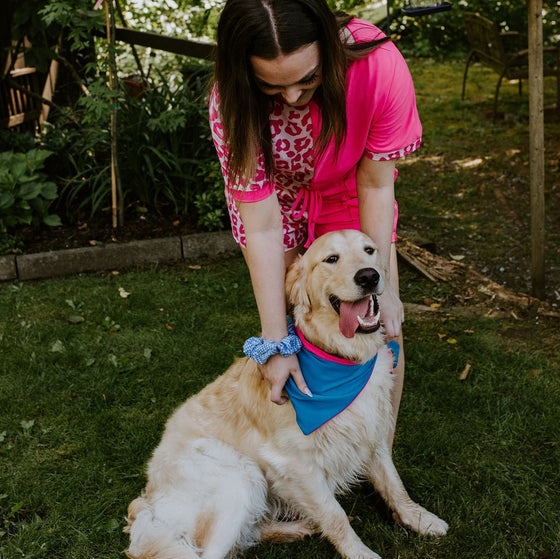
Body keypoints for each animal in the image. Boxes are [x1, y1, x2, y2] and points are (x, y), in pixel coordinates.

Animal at [124, 229, 448, 559]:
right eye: (331, 259)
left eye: (369, 250)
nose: (369, 276)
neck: (343, 360)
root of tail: (146, 507)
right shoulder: (296, 463)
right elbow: (335, 514)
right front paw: (359, 553)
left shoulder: (373, 431)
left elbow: (393, 483)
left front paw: (418, 517)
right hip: (241, 475)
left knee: (249, 534)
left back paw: (297, 529)